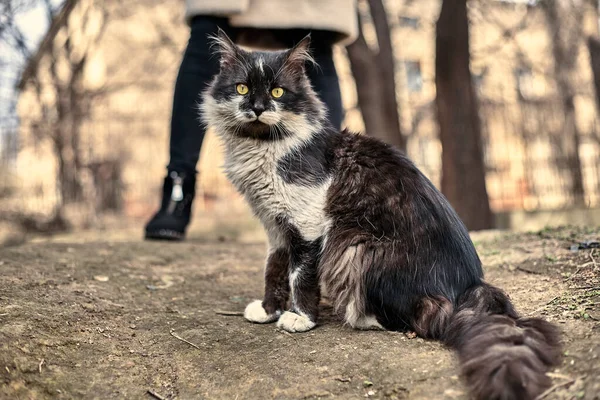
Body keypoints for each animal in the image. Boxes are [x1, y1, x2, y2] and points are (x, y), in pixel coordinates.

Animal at [203, 29, 564, 400]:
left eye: (277, 92)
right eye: (242, 88)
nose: (258, 109)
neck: (263, 148)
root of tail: (469, 286)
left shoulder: (307, 224)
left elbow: (298, 276)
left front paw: (300, 318)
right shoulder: (275, 227)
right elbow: (273, 271)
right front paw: (267, 311)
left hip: (358, 250)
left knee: (421, 319)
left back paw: (358, 315)